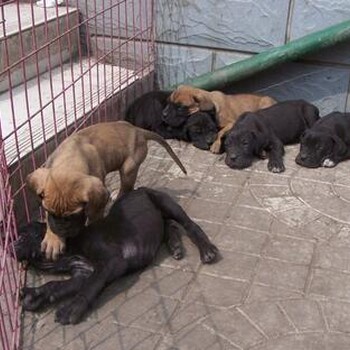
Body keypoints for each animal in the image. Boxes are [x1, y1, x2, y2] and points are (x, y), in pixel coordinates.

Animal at [16, 189, 220, 326]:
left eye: (23, 235)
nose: (13, 245)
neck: (69, 251)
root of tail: (138, 189)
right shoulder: (82, 273)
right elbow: (56, 285)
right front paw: (36, 295)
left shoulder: (110, 263)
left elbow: (90, 287)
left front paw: (72, 308)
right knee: (168, 224)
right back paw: (175, 245)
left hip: (166, 202)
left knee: (189, 225)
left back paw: (206, 249)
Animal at [27, 120, 187, 260]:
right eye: (49, 211)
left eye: (74, 215)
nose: (61, 231)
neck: (69, 160)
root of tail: (138, 130)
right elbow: (49, 221)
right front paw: (53, 239)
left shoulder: (96, 200)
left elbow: (93, 217)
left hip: (128, 168)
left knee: (127, 187)